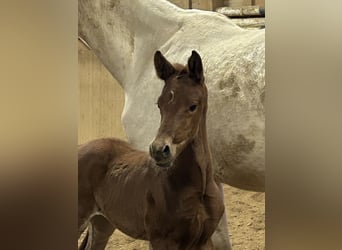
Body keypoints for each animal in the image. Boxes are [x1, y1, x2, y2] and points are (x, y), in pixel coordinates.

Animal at [79, 50, 226, 250]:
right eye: (159, 104)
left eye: (193, 106)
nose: (158, 150)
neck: (198, 188)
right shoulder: (160, 240)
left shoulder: (203, 241)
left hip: (103, 223)